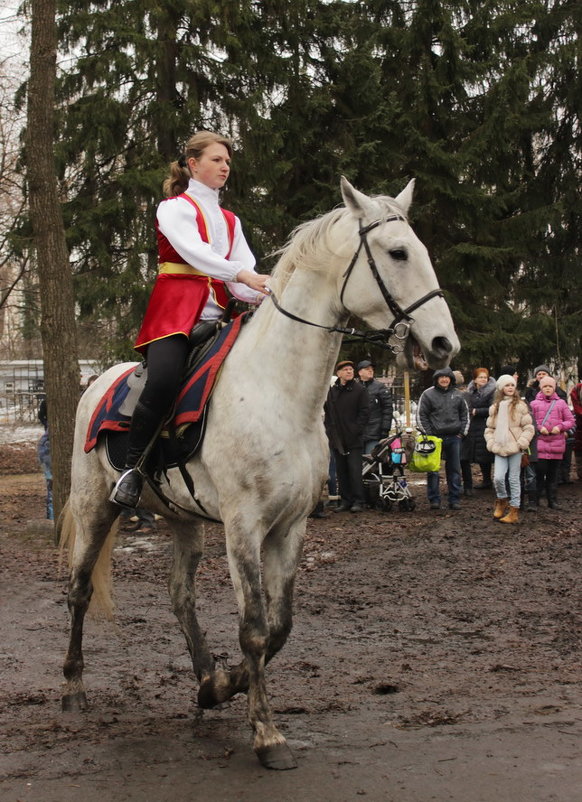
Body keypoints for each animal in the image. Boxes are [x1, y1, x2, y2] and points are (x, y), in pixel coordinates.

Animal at [59, 177, 460, 768]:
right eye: (398, 253)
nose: (442, 344)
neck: (281, 391)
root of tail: (98, 384)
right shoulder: (244, 526)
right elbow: (252, 629)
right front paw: (267, 733)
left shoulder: (290, 526)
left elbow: (279, 628)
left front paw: (224, 686)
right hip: (95, 507)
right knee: (80, 589)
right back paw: (73, 688)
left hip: (183, 519)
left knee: (180, 594)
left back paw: (204, 676)